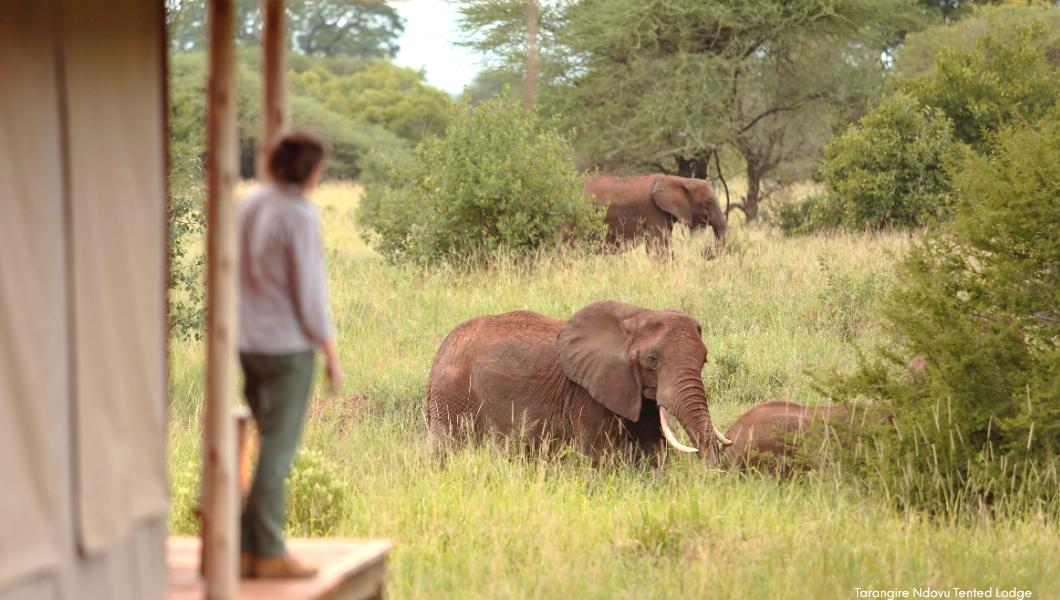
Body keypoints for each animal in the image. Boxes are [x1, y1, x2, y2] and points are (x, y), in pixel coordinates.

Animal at [421, 301, 729, 466]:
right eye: (652, 359)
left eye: (704, 360)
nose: (714, 475)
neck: (636, 316)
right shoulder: (587, 391)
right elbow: (595, 452)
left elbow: (652, 451)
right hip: (452, 394)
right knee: (447, 448)